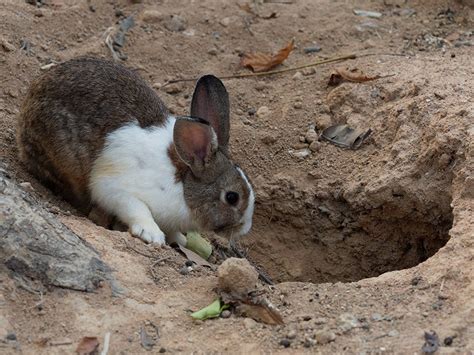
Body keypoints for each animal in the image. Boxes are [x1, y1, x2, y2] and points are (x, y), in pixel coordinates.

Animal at [17, 59, 256, 248]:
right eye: (232, 197)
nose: (245, 228)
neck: (183, 186)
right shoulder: (118, 189)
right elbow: (137, 209)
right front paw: (152, 234)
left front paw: (179, 239)